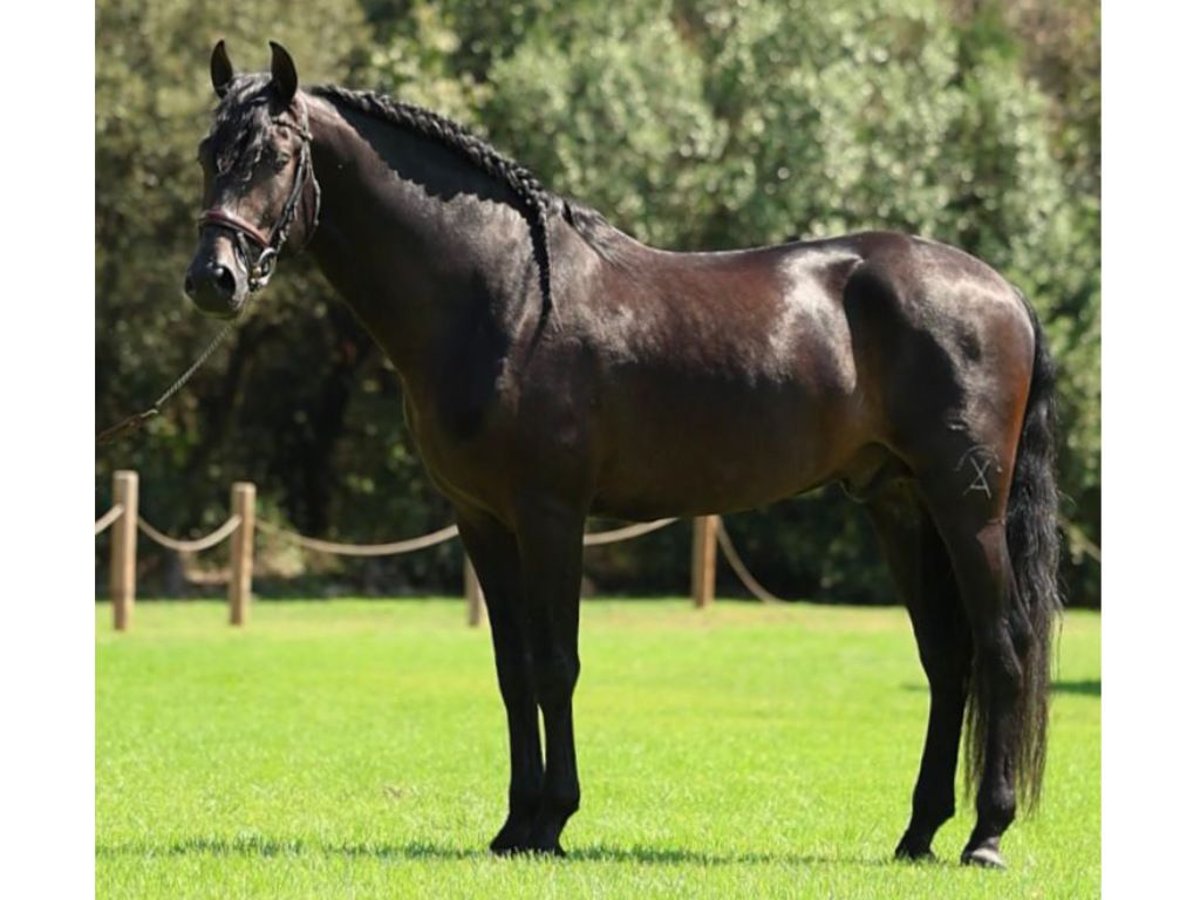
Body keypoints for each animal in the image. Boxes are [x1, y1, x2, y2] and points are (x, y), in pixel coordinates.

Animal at [184, 44, 1060, 873]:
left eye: (273, 154)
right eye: (207, 151)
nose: (212, 280)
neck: (503, 296)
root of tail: (1003, 292)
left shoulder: (551, 515)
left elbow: (555, 664)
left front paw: (552, 820)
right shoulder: (480, 520)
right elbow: (511, 669)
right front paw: (513, 825)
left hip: (967, 507)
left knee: (1003, 646)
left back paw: (986, 835)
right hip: (898, 505)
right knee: (946, 659)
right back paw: (918, 833)